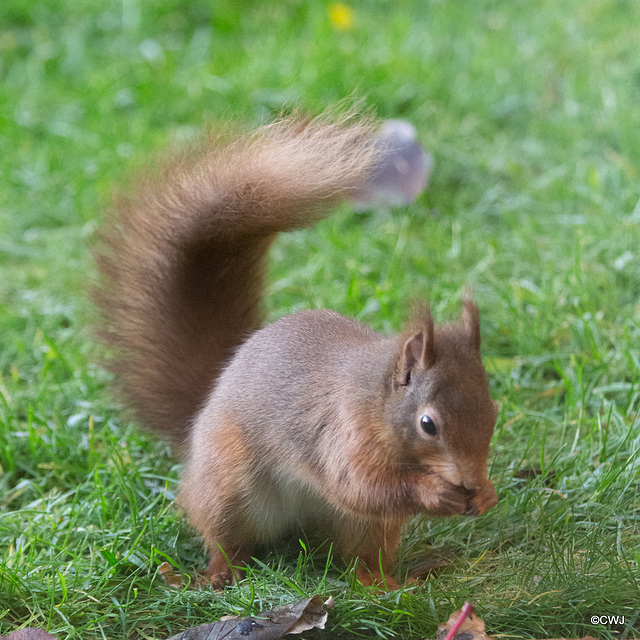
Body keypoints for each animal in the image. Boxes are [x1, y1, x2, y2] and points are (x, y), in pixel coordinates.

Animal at [92, 109, 498, 592]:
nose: (470, 481)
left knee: (360, 563)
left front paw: (486, 494)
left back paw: (390, 583)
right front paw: (436, 493)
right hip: (227, 489)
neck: (375, 401)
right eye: (427, 425)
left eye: (493, 410)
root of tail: (198, 419)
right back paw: (215, 575)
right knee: (226, 541)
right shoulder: (341, 433)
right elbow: (361, 486)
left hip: (365, 529)